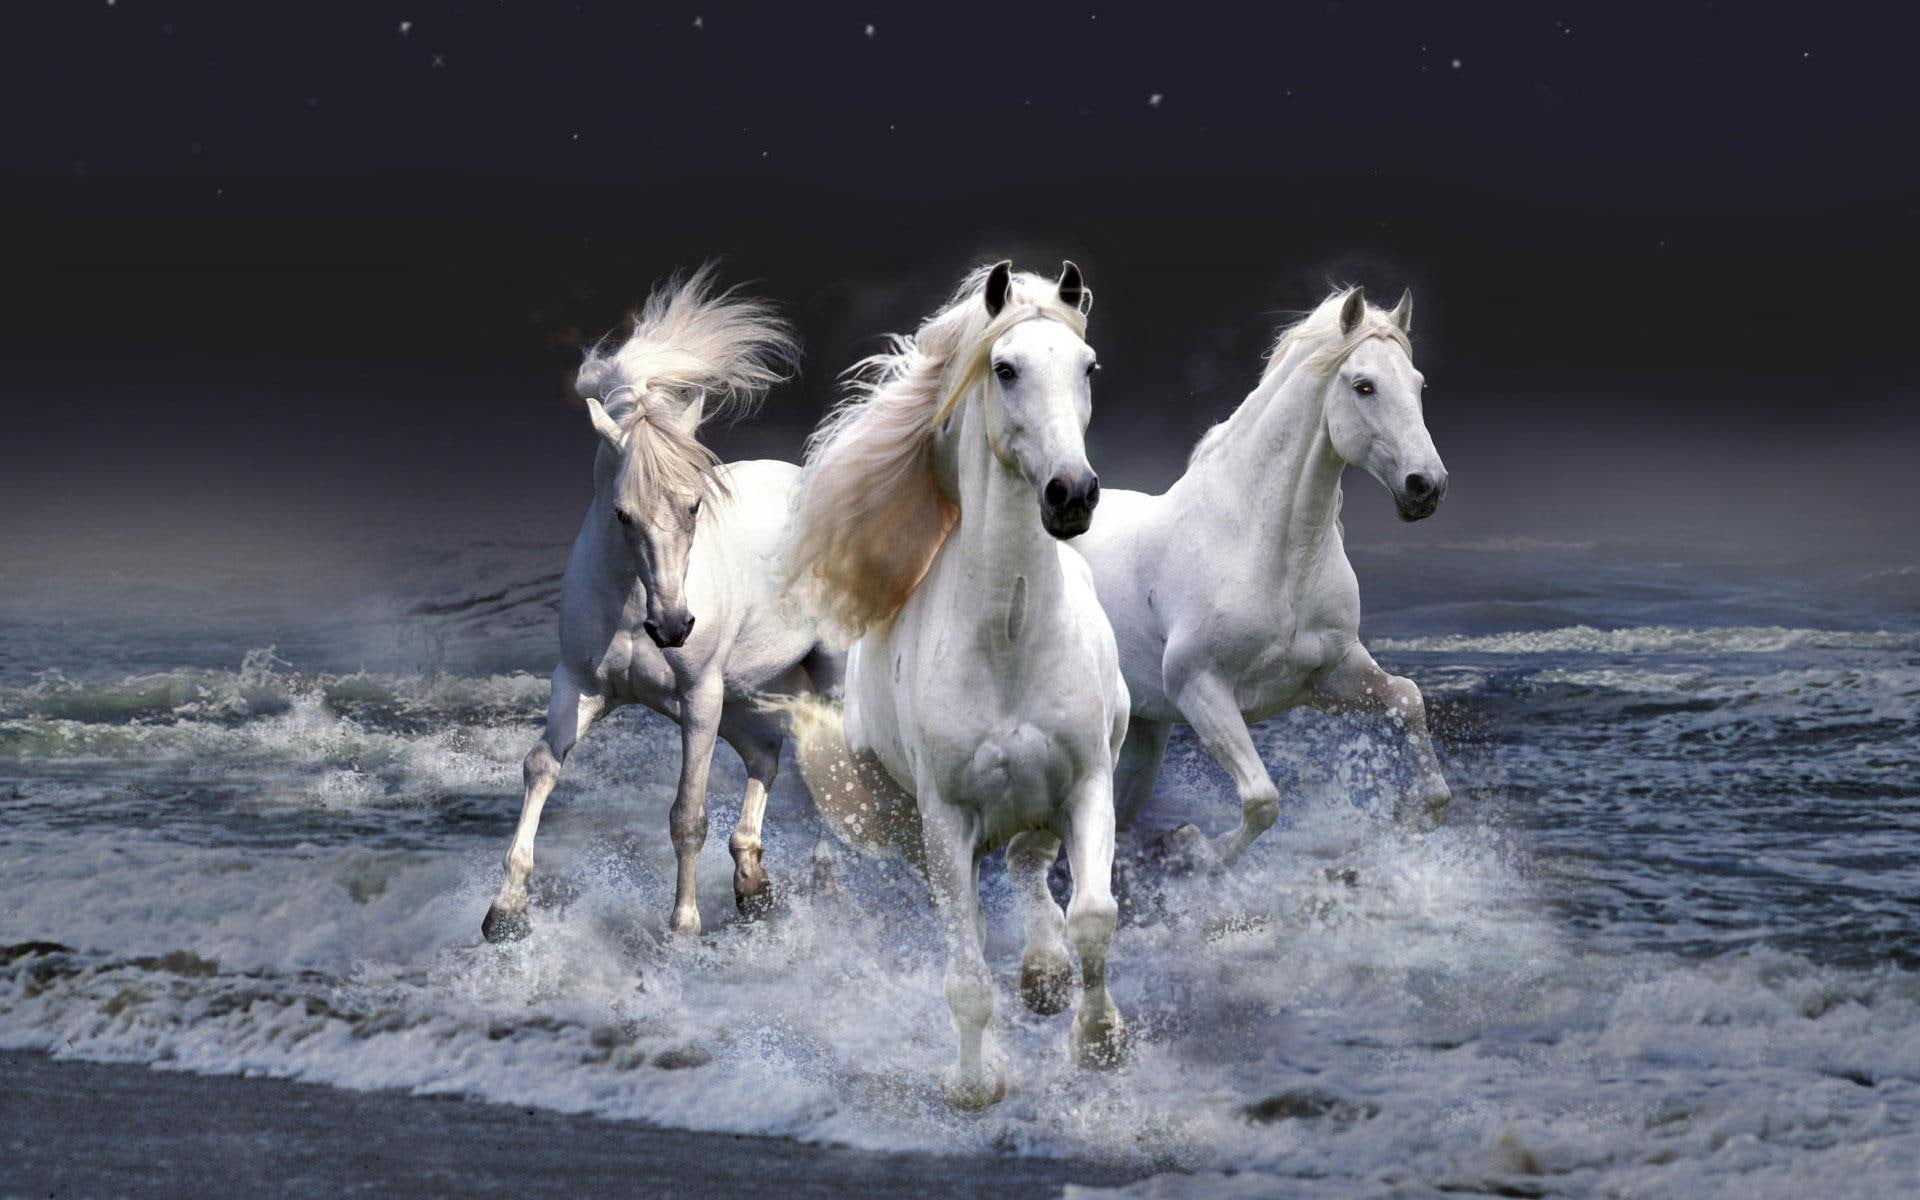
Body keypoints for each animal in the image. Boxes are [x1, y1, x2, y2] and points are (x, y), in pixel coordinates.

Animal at [481, 266, 840, 943]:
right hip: (744, 692)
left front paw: (683, 930)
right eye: (623, 514)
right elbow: (541, 766)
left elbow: (687, 814)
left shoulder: (698, 697)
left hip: (818, 678)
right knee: (767, 754)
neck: (630, 606)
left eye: (695, 504)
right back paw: (753, 886)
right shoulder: (581, 685)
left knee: (833, 765)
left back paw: (824, 879)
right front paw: (504, 911)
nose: (673, 627)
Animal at [775, 261, 1130, 1110]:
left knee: (1031, 865)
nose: (1073, 494)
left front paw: (1099, 1041)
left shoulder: (1087, 781)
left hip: (1045, 800)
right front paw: (975, 1084)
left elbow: (1093, 915)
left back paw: (1045, 976)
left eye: (1088, 367)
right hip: (907, 823)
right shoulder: (945, 820)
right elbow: (966, 974)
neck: (1010, 638)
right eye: (1005, 369)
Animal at [1071, 286, 1452, 867]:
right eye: (1364, 386)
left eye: (1418, 384)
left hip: (1143, 733)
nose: (1426, 486)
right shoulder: (1199, 689)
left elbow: (1408, 699)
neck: (1269, 554)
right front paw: (1191, 849)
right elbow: (1262, 799)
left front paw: (1409, 816)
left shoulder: (1327, 677)